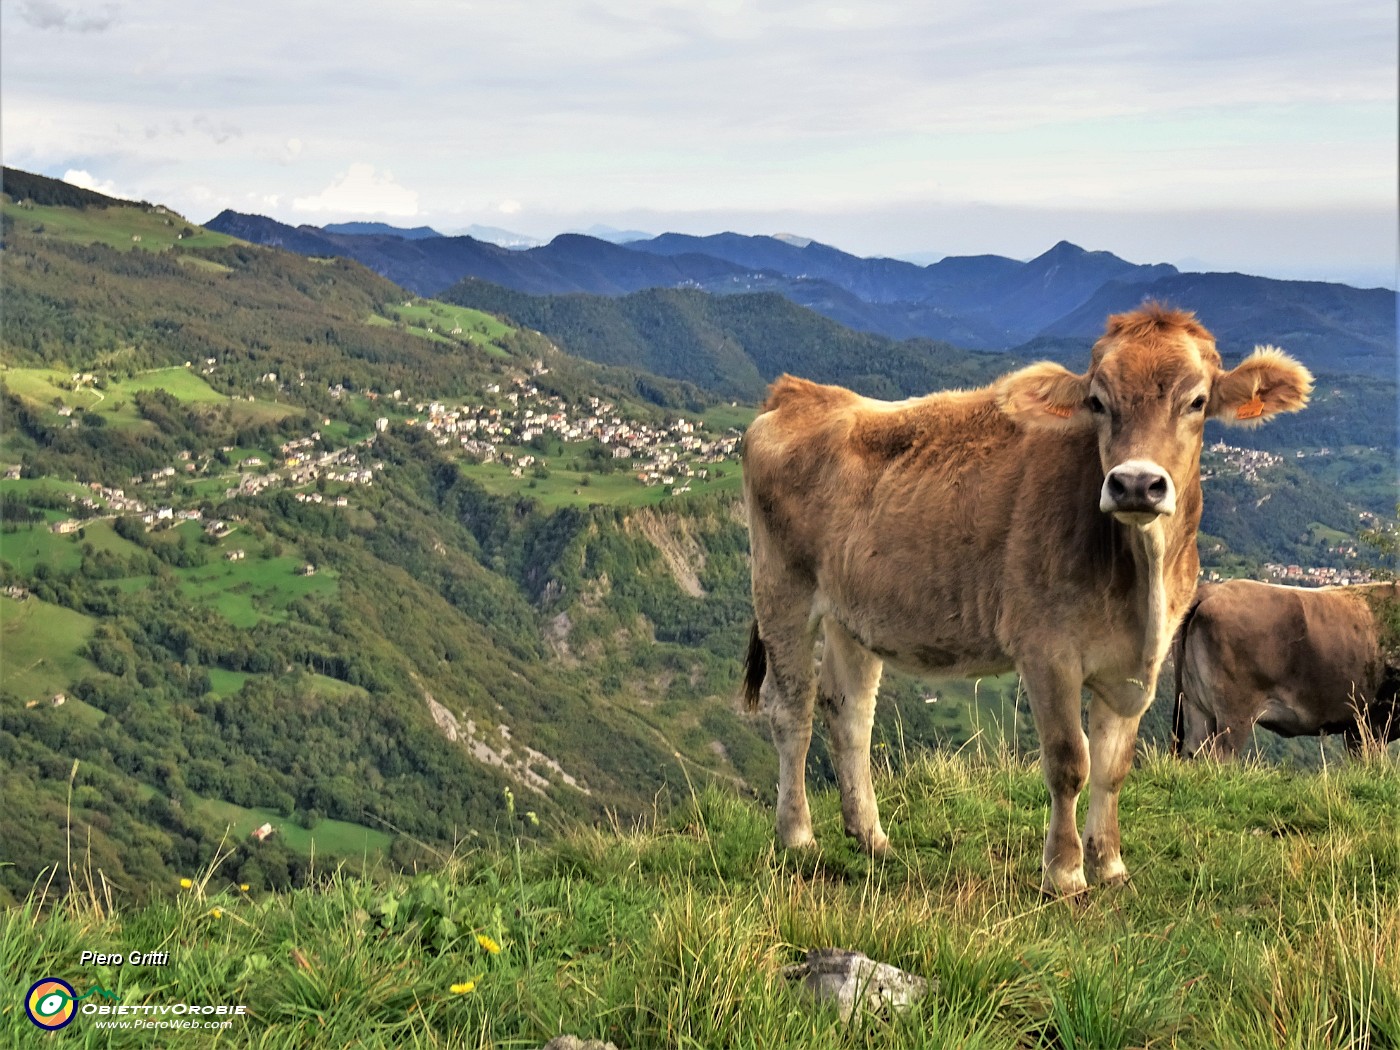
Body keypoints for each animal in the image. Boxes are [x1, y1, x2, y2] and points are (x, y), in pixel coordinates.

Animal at [744, 302, 1310, 896]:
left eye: (1197, 401)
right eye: (1097, 401)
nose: (1135, 483)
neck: (1141, 585)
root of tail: (800, 393)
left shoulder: (1137, 667)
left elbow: (1113, 766)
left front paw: (1110, 863)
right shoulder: (1047, 654)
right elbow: (1070, 762)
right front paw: (1064, 872)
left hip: (853, 612)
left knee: (848, 710)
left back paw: (872, 837)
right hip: (781, 590)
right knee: (792, 708)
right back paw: (798, 835)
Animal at [1170, 579, 1400, 761]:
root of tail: (1212, 591)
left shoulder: (1356, 728)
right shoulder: (1373, 724)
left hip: (1196, 707)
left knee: (1196, 752)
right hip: (1234, 714)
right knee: (1221, 755)